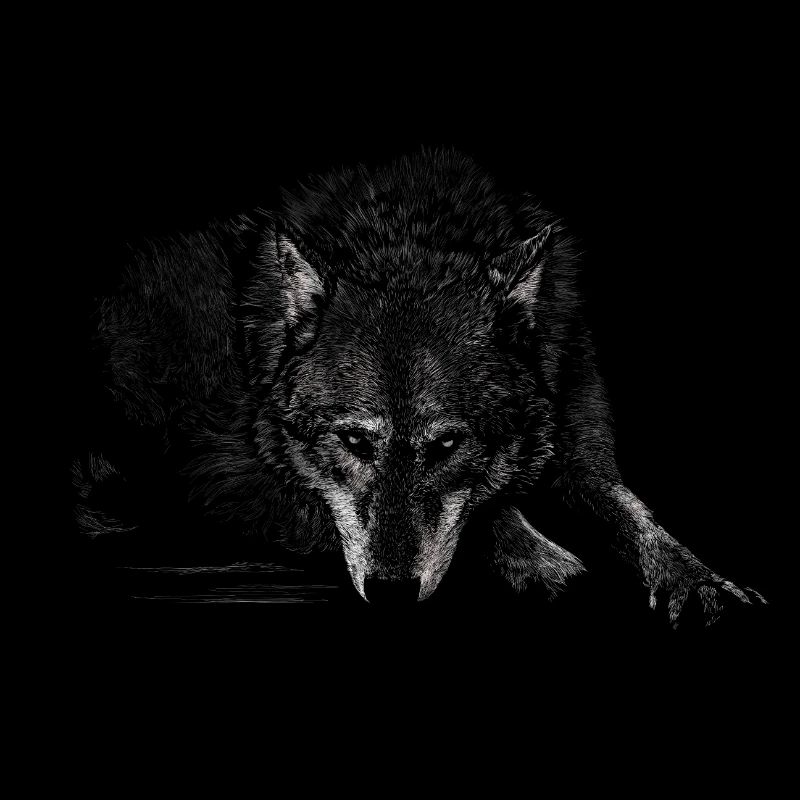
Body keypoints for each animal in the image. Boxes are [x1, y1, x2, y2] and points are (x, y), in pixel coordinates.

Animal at [73, 148, 765, 623]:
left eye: (447, 446)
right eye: (354, 443)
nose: (391, 593)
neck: (409, 235)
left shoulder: (584, 459)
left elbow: (636, 516)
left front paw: (700, 580)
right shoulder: (226, 473)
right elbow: (493, 512)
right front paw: (546, 561)